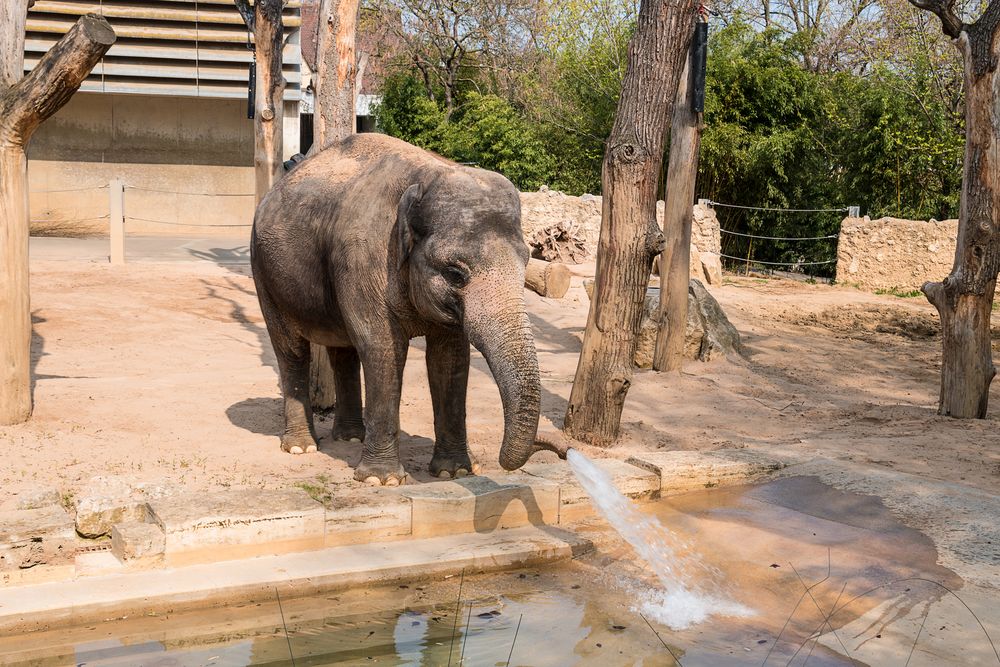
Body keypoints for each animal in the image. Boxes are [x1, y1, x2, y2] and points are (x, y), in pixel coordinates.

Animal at [250, 132, 564, 486]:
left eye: (526, 263)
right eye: (455, 274)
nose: (558, 450)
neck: (425, 175)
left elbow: (450, 358)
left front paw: (453, 472)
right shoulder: (363, 257)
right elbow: (384, 349)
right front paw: (381, 480)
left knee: (342, 350)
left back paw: (350, 438)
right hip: (263, 272)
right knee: (291, 350)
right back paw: (301, 447)